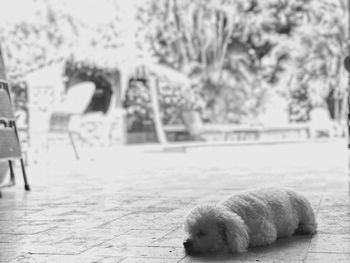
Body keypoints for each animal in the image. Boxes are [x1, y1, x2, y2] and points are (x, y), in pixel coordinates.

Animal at [183, 189, 318, 255]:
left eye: (201, 233)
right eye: (189, 231)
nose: (185, 243)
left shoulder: (266, 234)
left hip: (305, 211)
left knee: (312, 225)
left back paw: (304, 228)